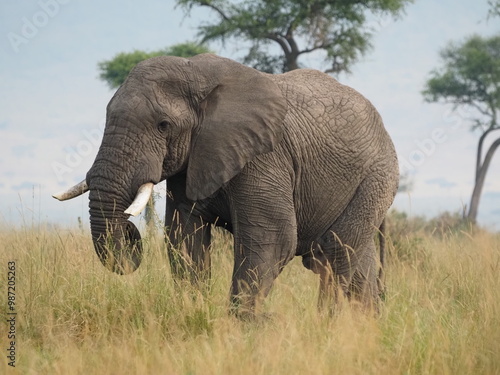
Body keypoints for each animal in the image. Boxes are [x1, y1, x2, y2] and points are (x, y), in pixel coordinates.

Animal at [53, 53, 398, 318]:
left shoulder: (265, 156)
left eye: (163, 125)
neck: (195, 72)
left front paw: (245, 328)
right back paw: (366, 325)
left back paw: (329, 326)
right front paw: (194, 314)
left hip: (377, 177)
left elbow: (272, 239)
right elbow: (184, 239)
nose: (130, 232)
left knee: (333, 253)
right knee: (357, 260)